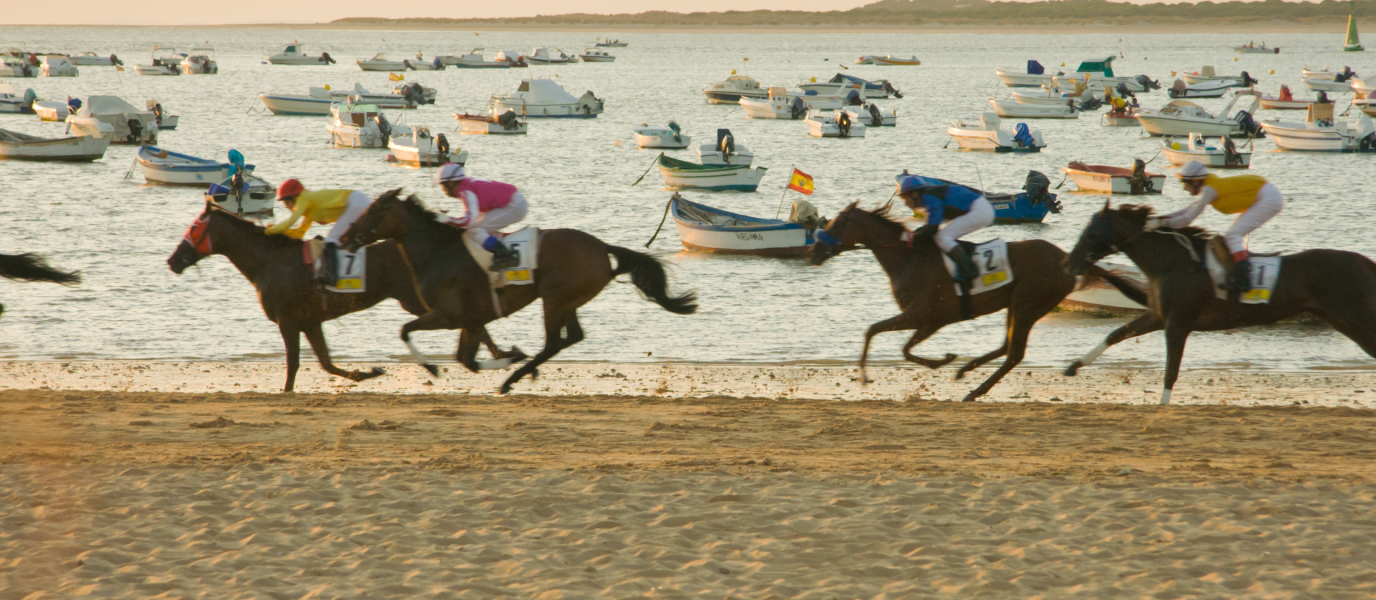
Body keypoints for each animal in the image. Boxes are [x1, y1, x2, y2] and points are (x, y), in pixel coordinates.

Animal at [166, 200, 517, 393]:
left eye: (194, 228)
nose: (172, 260)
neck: (270, 262)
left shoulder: (288, 320)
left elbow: (294, 364)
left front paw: (288, 390)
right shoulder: (310, 321)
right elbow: (326, 363)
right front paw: (367, 372)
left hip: (418, 300)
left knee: (470, 319)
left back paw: (500, 354)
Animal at [338, 188, 693, 393]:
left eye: (373, 211)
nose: (344, 237)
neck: (437, 252)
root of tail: (601, 247)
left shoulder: (449, 315)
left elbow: (405, 330)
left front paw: (432, 366)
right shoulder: (471, 320)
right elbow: (465, 359)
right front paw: (509, 357)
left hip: (554, 298)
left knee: (554, 342)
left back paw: (512, 380)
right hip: (567, 300)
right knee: (571, 337)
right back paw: (519, 374)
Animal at [809, 200, 1144, 401]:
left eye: (837, 223)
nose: (813, 251)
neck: (908, 258)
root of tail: (1066, 259)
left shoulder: (924, 317)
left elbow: (882, 336)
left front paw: (870, 375)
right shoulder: (929, 321)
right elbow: (893, 342)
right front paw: (945, 361)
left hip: (1027, 303)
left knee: (1014, 353)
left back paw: (974, 388)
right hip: (1019, 305)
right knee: (1008, 347)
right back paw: (967, 370)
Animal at [1067, 203, 1376, 404]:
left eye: (1091, 233)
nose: (1070, 263)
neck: (1174, 263)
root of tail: (1366, 262)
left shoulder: (1178, 323)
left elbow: (1170, 371)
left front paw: (1162, 406)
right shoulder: (1159, 316)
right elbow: (1116, 333)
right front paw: (1074, 366)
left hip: (1358, 318)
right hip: (1344, 321)